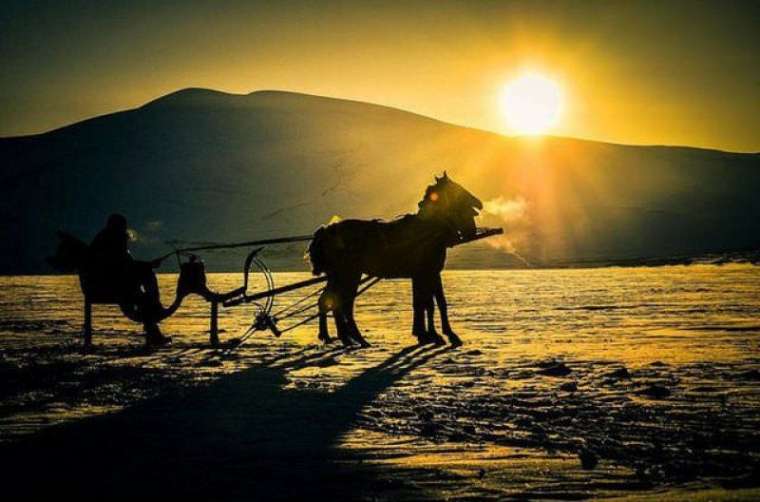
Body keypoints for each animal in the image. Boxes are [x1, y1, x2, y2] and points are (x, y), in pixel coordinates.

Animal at [308, 172, 480, 346]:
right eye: (456, 187)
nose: (479, 204)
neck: (427, 230)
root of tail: (327, 231)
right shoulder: (426, 273)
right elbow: (430, 303)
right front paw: (439, 335)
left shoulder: (428, 273)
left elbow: (429, 303)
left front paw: (429, 334)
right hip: (349, 275)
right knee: (342, 304)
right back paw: (354, 338)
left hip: (339, 275)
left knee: (329, 300)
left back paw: (336, 337)